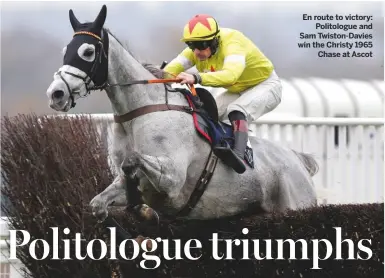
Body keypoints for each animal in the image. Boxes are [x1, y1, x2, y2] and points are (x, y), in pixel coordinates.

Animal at [46, 4, 320, 222]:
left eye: (88, 52)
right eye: (64, 50)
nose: (56, 94)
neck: (138, 114)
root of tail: (299, 159)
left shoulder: (172, 179)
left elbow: (132, 160)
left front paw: (143, 209)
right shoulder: (124, 184)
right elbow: (99, 202)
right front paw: (135, 209)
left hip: (295, 201)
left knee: (238, 111)